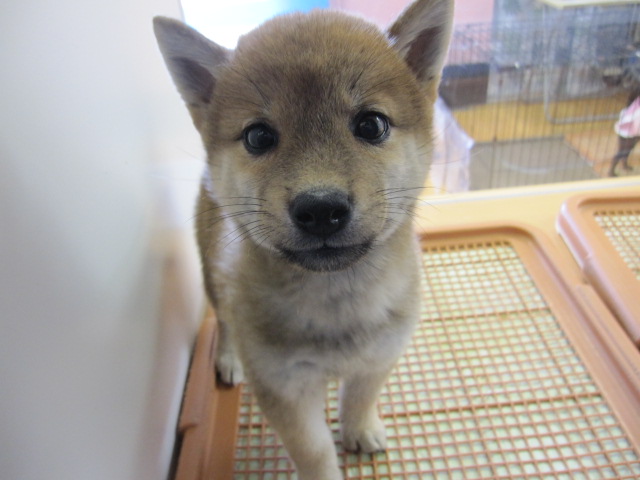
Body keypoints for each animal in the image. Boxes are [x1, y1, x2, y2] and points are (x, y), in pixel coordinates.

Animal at [153, 1, 453, 478]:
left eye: (371, 125)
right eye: (258, 136)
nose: (320, 209)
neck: (337, 302)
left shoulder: (379, 356)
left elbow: (360, 398)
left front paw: (360, 429)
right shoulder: (284, 387)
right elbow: (313, 450)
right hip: (213, 275)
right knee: (224, 321)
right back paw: (228, 358)